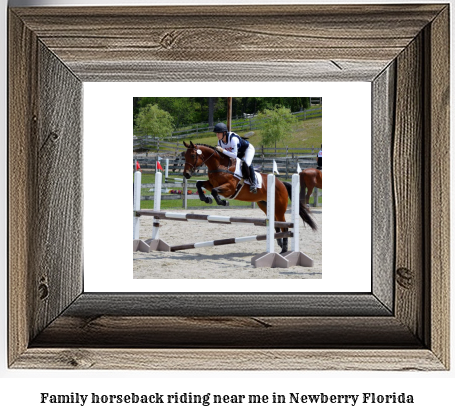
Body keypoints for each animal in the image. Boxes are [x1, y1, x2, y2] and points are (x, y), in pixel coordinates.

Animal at [183, 141, 318, 254]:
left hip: (280, 208)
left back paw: (284, 250)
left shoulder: (230, 188)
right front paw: (206, 199)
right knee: (276, 224)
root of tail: (281, 183)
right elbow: (199, 184)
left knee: (284, 226)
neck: (220, 165)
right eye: (185, 156)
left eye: (193, 156)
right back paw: (279, 243)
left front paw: (223, 202)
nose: (186, 174)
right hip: (265, 205)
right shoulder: (211, 184)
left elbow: (215, 191)